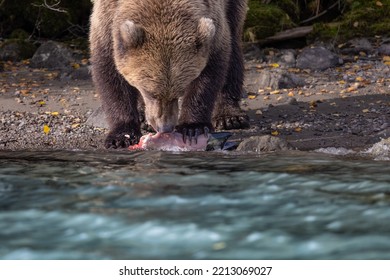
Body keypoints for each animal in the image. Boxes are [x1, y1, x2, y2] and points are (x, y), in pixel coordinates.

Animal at [90, 0, 248, 149]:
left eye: (180, 92)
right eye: (150, 92)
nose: (164, 128)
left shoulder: (213, 21)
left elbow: (210, 73)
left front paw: (193, 128)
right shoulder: (107, 21)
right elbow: (112, 77)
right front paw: (121, 136)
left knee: (234, 45)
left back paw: (229, 117)